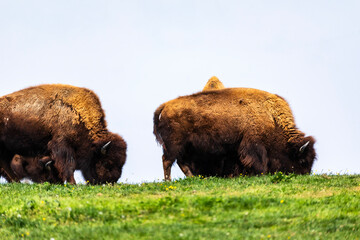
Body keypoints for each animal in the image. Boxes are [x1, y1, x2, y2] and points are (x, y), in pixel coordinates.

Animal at [154, 82, 316, 180]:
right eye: (302, 160)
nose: (304, 175)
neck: (271, 118)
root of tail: (165, 105)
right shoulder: (253, 146)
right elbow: (258, 162)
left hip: (185, 148)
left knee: (180, 163)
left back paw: (192, 178)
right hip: (174, 146)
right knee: (167, 161)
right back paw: (168, 181)